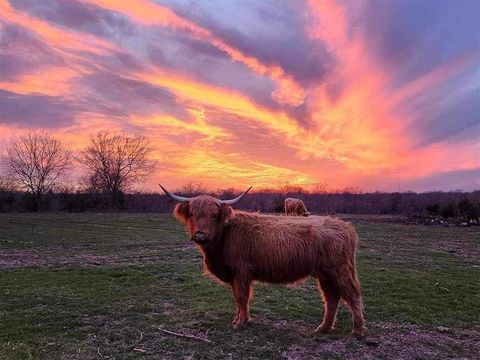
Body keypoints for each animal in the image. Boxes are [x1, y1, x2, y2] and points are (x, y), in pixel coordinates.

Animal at [159, 184, 366, 338]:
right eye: (193, 214)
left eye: (214, 215)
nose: (200, 235)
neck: (224, 236)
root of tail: (346, 226)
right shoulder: (234, 275)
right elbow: (237, 298)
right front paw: (238, 319)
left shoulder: (241, 272)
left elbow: (242, 297)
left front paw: (241, 323)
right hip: (325, 274)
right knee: (331, 297)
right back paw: (323, 328)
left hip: (339, 271)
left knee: (352, 294)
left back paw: (357, 331)